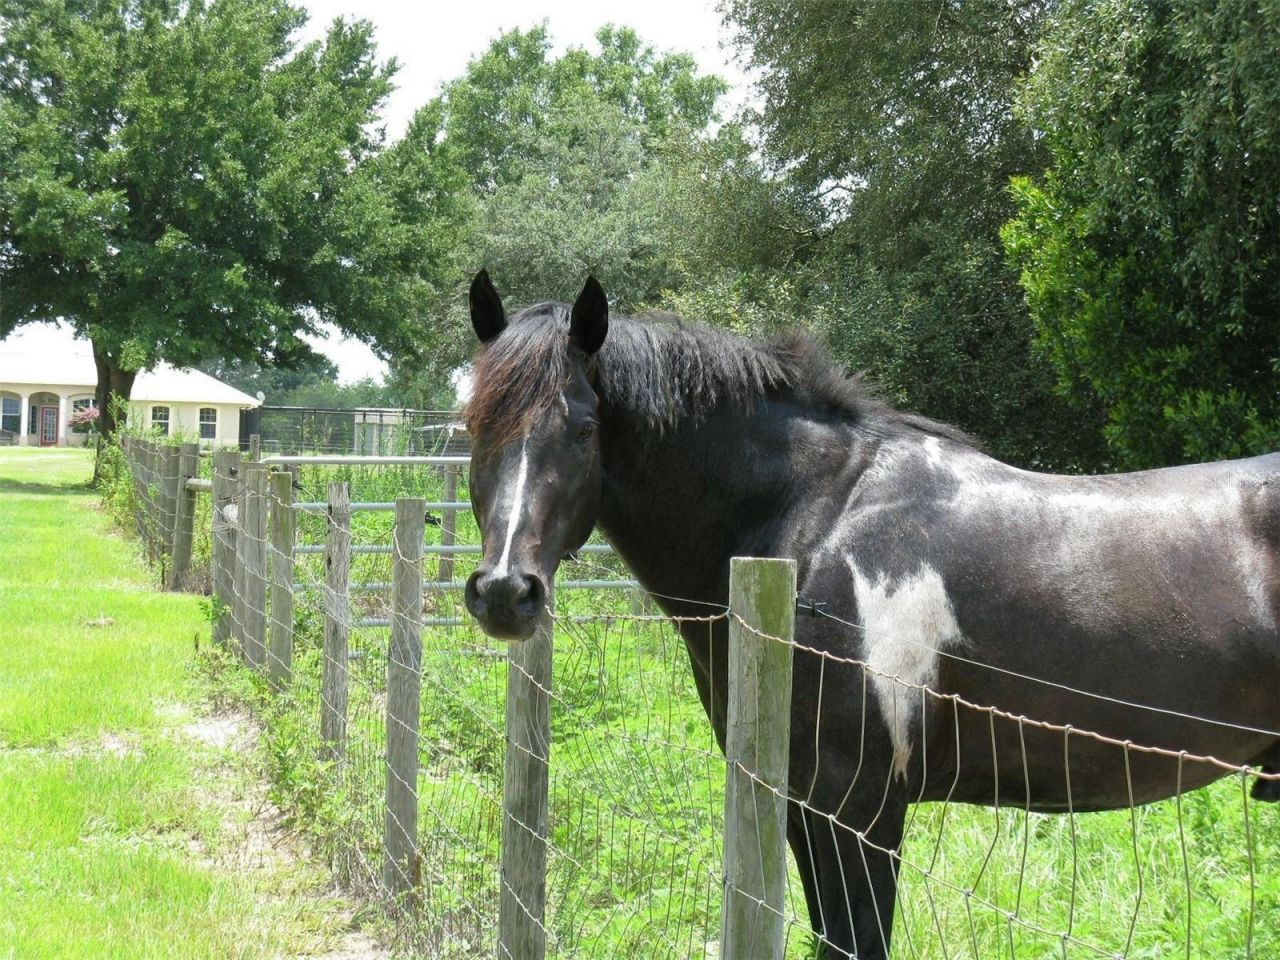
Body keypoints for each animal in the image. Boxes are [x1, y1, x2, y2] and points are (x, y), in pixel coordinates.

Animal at [459, 271, 1280, 959]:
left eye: (584, 427)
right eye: (472, 426)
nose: (504, 592)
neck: (814, 519)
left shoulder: (857, 811)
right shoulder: (800, 807)